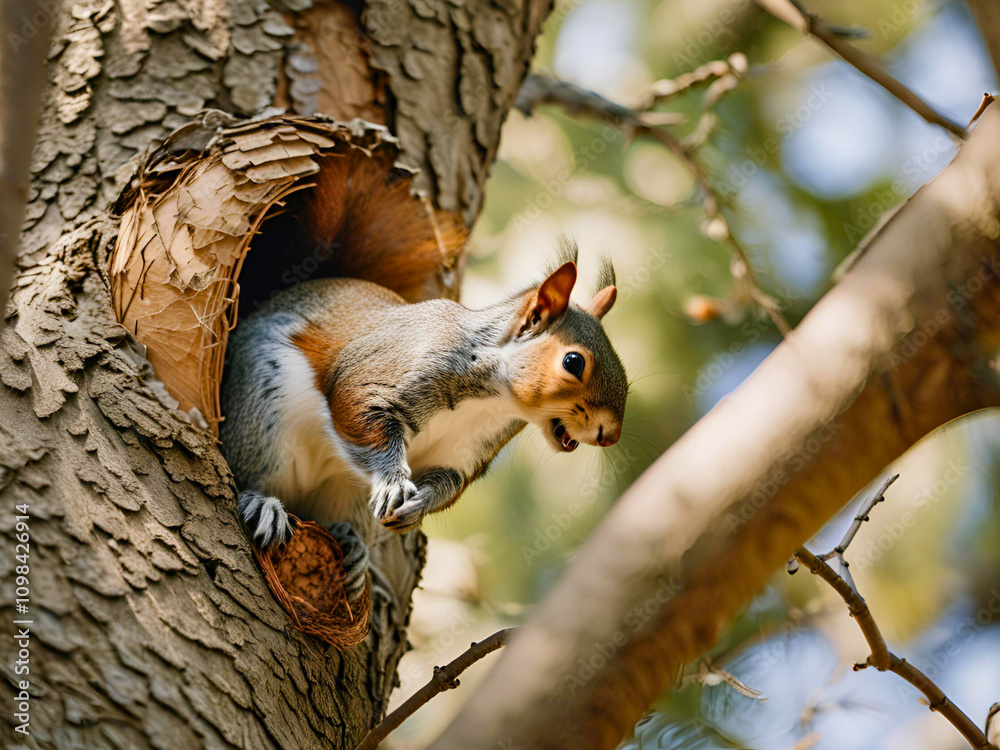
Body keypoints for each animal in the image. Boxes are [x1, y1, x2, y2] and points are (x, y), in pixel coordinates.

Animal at [219, 159, 628, 605]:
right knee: (248, 473)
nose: (610, 435)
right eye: (573, 362)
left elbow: (448, 483)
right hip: (262, 418)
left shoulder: (462, 452)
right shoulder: (385, 372)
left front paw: (417, 506)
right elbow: (358, 409)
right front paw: (394, 484)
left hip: (344, 492)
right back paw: (264, 504)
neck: (492, 400)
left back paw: (352, 546)